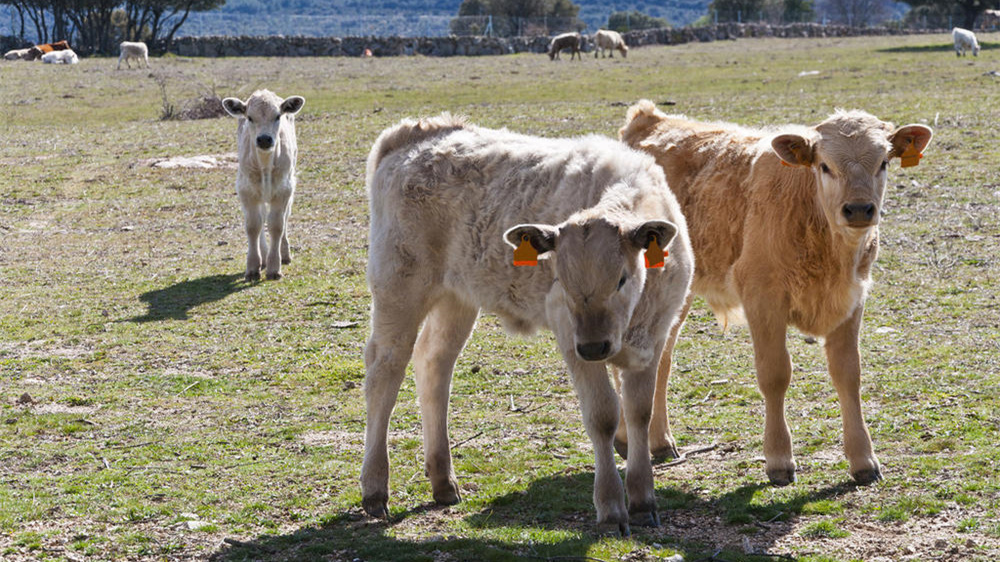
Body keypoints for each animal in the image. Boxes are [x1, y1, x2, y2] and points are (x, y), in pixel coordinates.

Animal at [223, 89, 304, 280]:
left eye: (277, 116)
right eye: (250, 117)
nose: (264, 139)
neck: (265, 166)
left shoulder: (284, 190)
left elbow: (277, 225)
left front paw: (275, 268)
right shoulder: (246, 191)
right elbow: (253, 226)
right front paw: (253, 267)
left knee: (284, 218)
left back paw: (284, 254)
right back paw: (264, 257)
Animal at [620, 100, 932, 486]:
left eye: (883, 162)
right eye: (824, 165)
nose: (859, 209)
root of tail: (649, 118)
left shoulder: (852, 300)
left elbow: (848, 374)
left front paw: (863, 460)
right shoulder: (763, 298)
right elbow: (775, 374)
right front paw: (779, 459)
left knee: (660, 356)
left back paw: (658, 441)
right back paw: (625, 438)